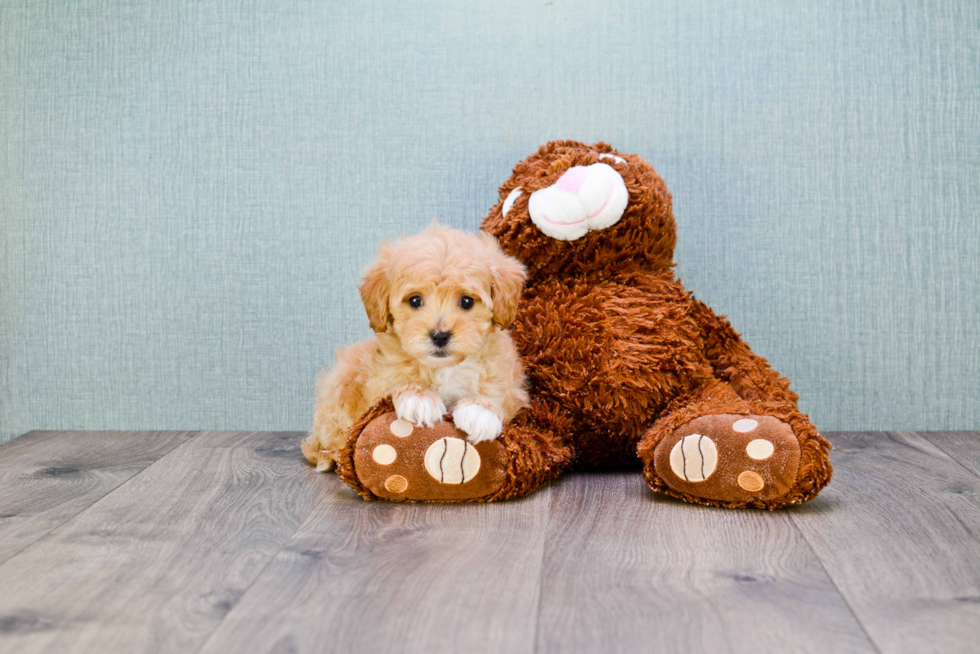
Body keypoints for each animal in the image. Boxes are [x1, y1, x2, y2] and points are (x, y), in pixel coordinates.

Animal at [302, 224, 528, 472]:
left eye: (467, 301)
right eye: (415, 301)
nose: (439, 336)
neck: (443, 368)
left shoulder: (505, 382)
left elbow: (494, 393)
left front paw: (480, 410)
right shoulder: (378, 381)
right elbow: (395, 383)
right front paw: (418, 397)